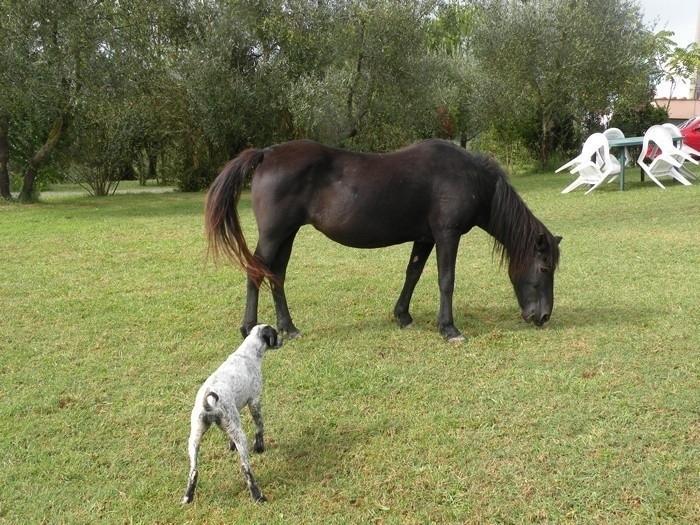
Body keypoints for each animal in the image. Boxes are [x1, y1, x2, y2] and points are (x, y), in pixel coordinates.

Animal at [182, 324, 284, 504]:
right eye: (275, 333)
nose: (283, 339)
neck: (247, 353)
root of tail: (209, 402)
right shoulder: (254, 402)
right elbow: (259, 427)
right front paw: (259, 447)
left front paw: (231, 446)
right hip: (241, 436)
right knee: (245, 469)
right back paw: (258, 496)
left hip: (194, 438)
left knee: (193, 471)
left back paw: (188, 497)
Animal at [205, 139, 560, 342]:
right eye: (544, 268)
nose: (543, 316)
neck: (468, 177)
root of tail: (267, 154)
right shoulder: (447, 235)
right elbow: (446, 280)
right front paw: (449, 329)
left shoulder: (425, 238)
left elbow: (413, 274)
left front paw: (403, 316)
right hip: (274, 234)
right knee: (256, 272)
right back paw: (249, 327)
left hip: (287, 235)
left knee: (276, 275)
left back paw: (288, 328)